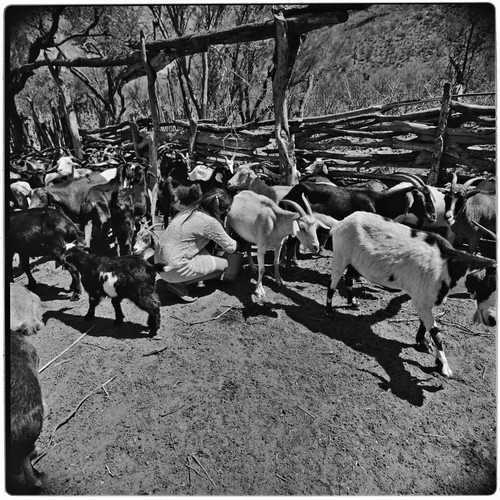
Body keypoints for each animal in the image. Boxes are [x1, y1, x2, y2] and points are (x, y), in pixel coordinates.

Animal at [324, 209, 496, 376]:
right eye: (490, 285)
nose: (492, 320)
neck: (446, 264)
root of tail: (340, 223)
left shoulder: (428, 300)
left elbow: (425, 325)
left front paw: (424, 344)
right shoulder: (421, 300)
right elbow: (436, 333)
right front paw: (444, 368)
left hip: (356, 262)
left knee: (348, 278)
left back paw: (352, 302)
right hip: (340, 255)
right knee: (333, 282)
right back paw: (329, 312)